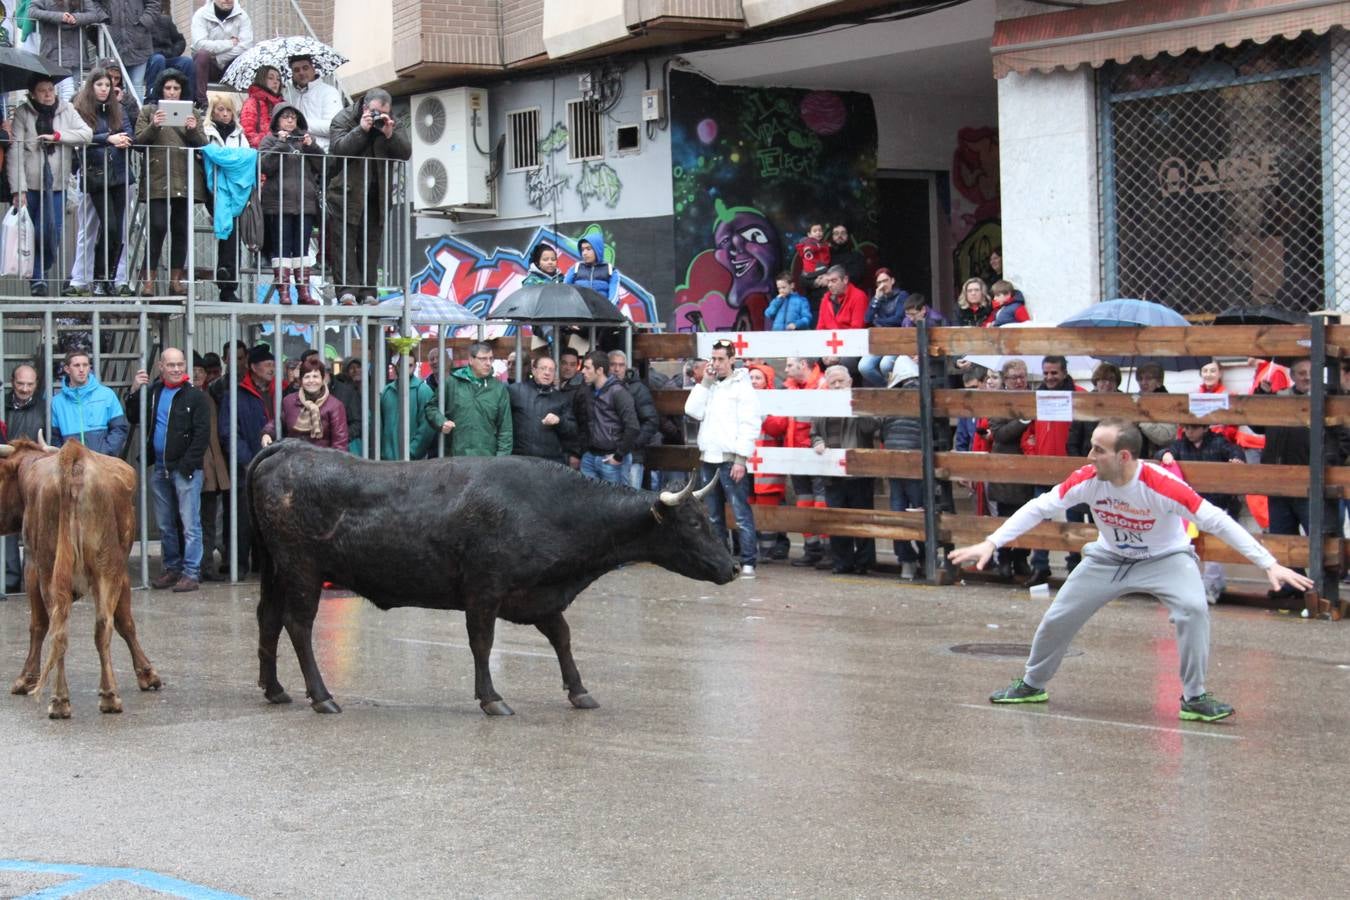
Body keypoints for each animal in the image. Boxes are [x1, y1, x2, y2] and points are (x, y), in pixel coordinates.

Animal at [0, 437, 161, 717]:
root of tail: (74, 458)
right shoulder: (120, 572)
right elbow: (125, 622)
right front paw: (146, 673)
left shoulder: (30, 565)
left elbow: (38, 624)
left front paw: (26, 678)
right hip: (104, 569)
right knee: (99, 626)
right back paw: (102, 697)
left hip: (58, 571)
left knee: (64, 628)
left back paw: (67, 699)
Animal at [251, 439, 739, 712]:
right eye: (692, 524)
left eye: (708, 520)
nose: (733, 566)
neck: (554, 508)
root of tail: (289, 449)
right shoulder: (484, 591)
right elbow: (482, 643)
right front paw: (491, 698)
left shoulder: (540, 597)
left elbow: (562, 638)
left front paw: (579, 690)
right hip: (302, 569)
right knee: (298, 625)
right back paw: (321, 696)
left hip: (275, 569)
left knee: (268, 620)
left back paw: (275, 689)